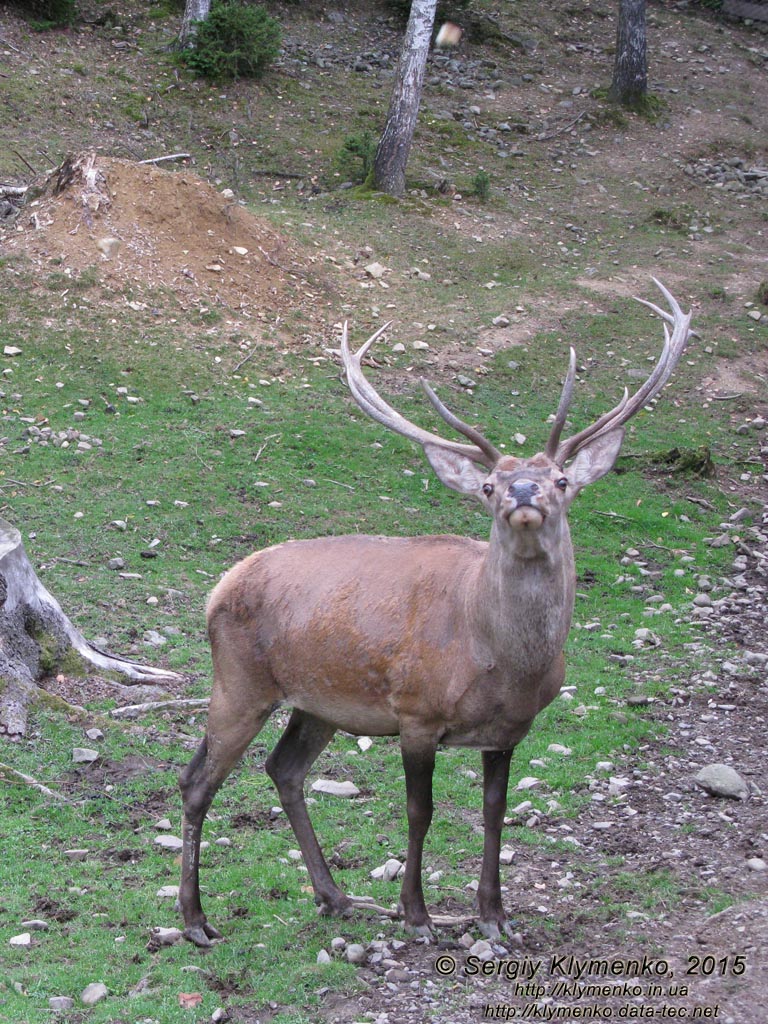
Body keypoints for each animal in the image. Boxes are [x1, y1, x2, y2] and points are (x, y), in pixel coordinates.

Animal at [177, 278, 696, 942]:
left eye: (560, 479)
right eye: (489, 486)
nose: (521, 494)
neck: (504, 663)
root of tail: (219, 585)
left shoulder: (512, 728)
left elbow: (495, 813)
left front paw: (494, 915)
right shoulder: (417, 712)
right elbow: (419, 811)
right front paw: (418, 915)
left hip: (317, 701)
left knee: (284, 769)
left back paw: (336, 897)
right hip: (239, 682)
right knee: (197, 781)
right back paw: (196, 918)